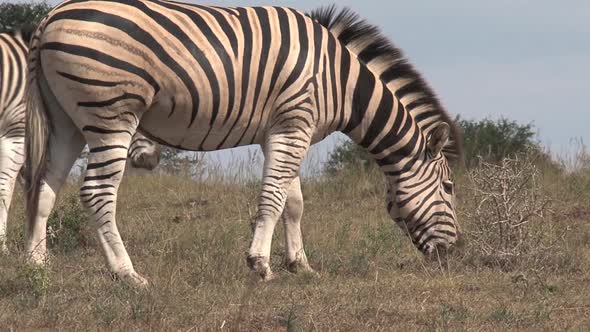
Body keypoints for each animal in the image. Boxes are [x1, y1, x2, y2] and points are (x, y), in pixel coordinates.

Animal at [26, 0, 462, 286]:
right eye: (448, 187)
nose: (453, 252)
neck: (340, 81)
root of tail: (49, 17)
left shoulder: (285, 131)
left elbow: (294, 202)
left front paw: (300, 265)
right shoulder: (293, 125)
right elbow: (272, 197)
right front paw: (260, 264)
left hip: (65, 121)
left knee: (46, 184)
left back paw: (35, 264)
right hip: (111, 113)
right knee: (97, 192)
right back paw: (127, 273)